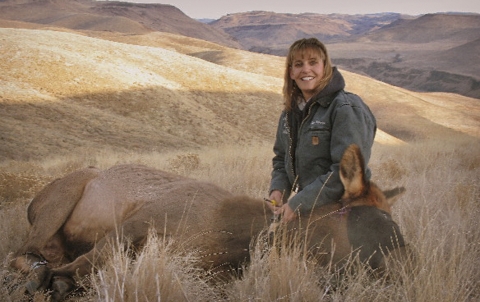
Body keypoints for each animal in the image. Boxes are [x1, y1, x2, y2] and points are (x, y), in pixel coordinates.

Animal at [8, 144, 404, 300]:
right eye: (370, 216)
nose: (401, 267)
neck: (235, 236)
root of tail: (33, 201)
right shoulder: (137, 223)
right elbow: (89, 260)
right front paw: (54, 280)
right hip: (59, 202)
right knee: (23, 252)